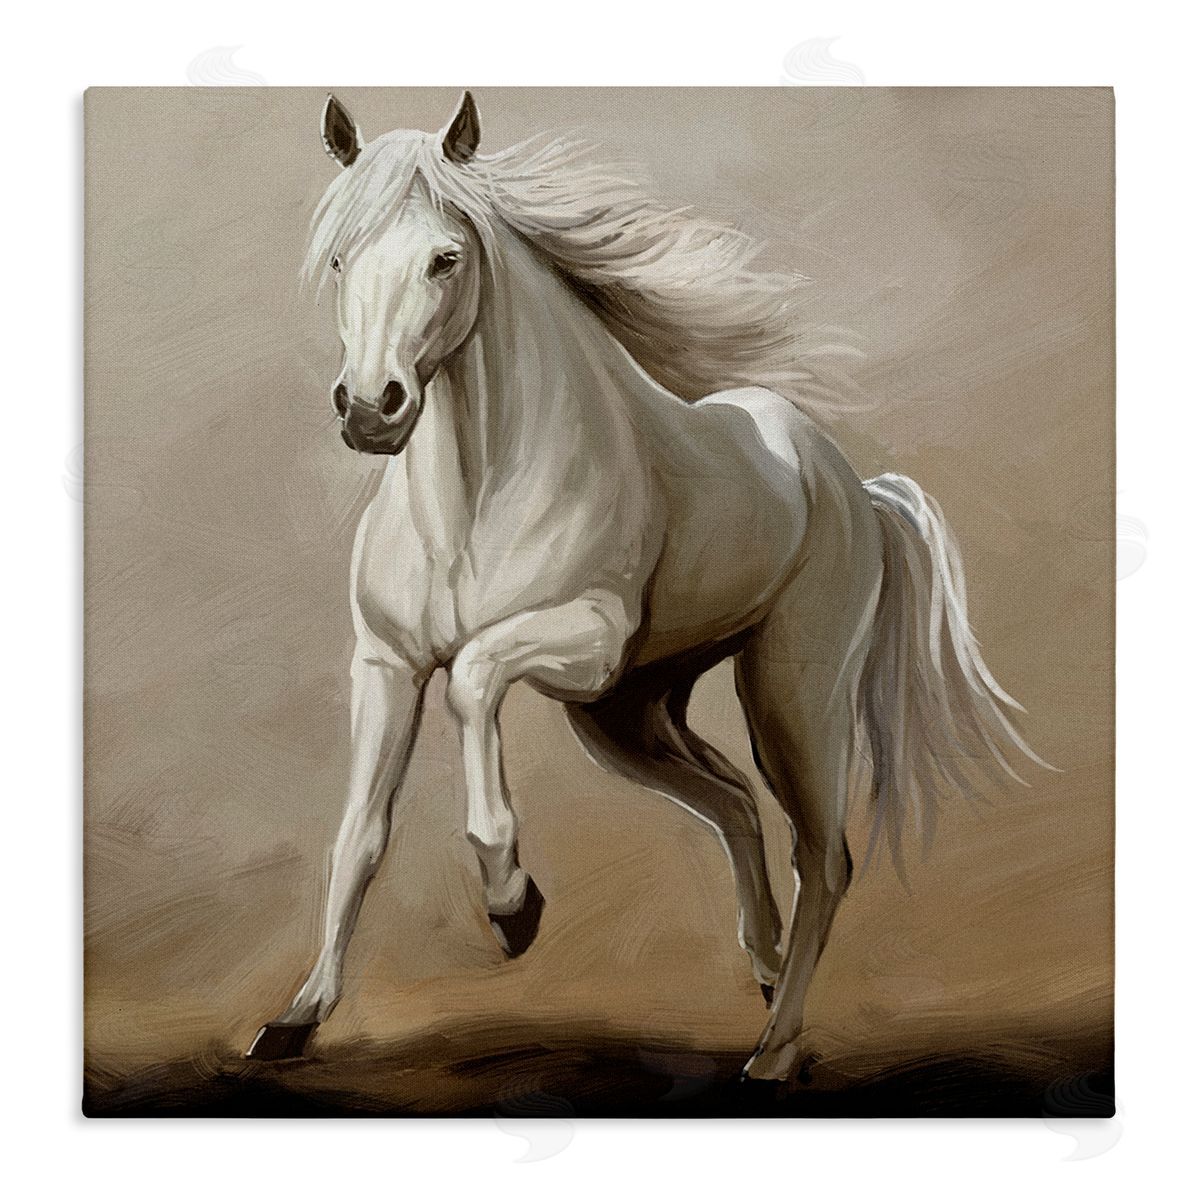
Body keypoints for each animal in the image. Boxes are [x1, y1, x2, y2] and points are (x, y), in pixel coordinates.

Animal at [246, 92, 1044, 1084]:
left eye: (445, 257)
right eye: (340, 257)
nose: (369, 410)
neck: (472, 502)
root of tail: (851, 488)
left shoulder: (583, 641)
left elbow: (473, 680)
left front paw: (513, 906)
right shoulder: (387, 667)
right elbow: (358, 835)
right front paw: (296, 1018)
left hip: (790, 695)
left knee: (824, 858)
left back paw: (774, 1053)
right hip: (629, 715)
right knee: (735, 803)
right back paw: (765, 972)